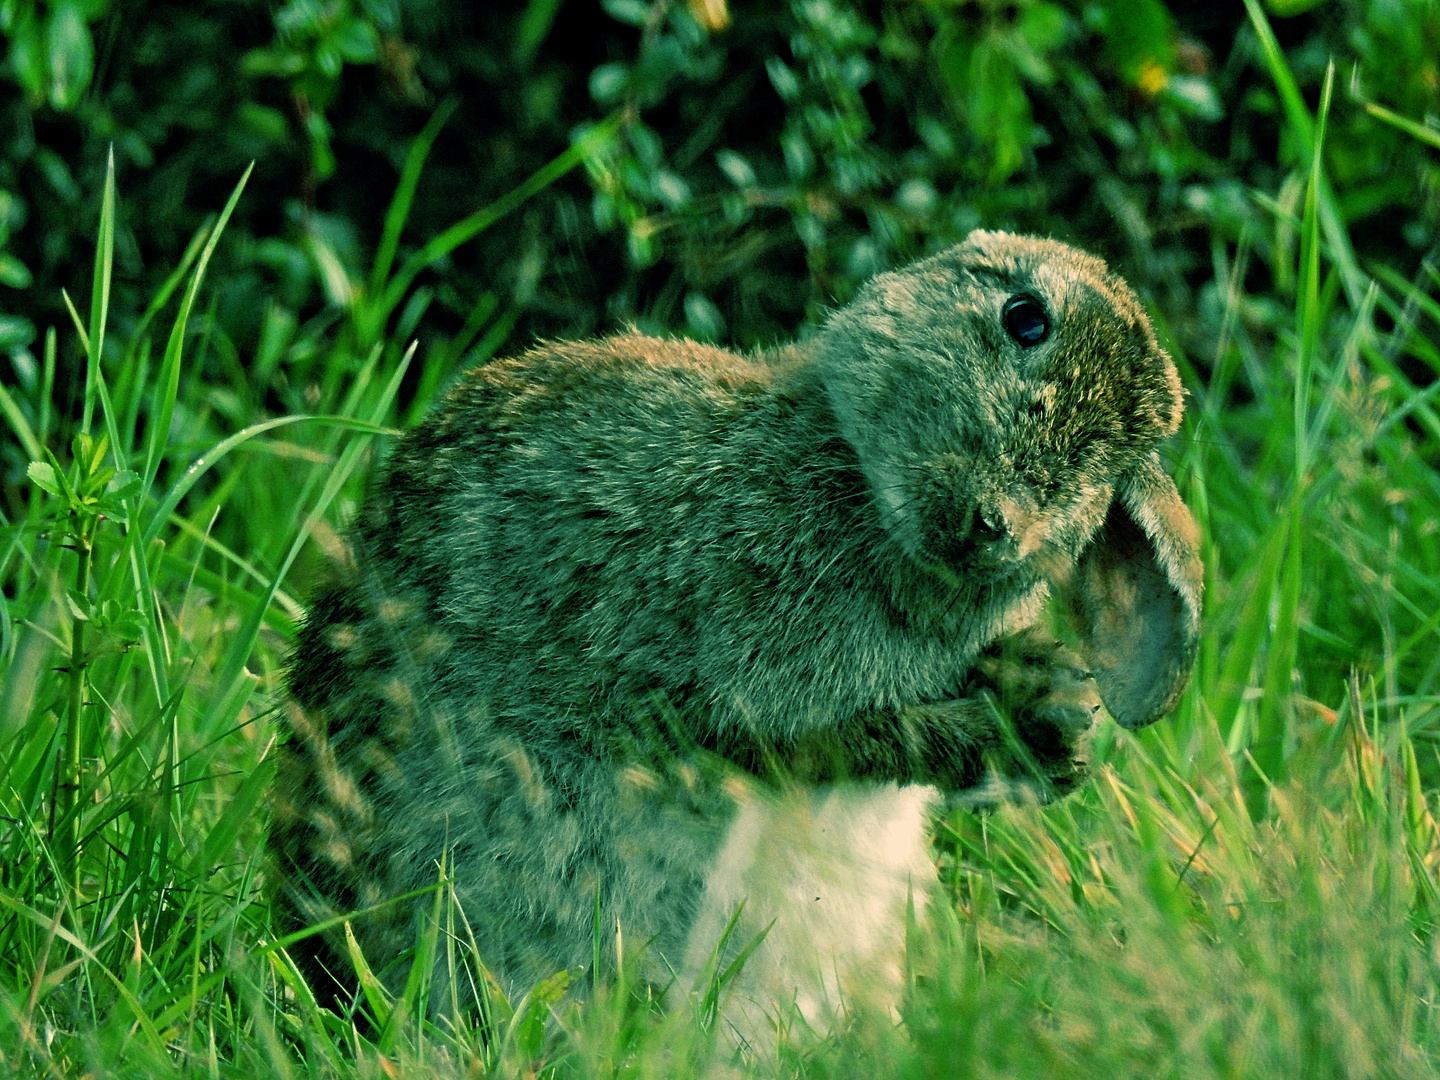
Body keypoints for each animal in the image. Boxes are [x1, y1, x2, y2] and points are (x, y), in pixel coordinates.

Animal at [270, 228, 1203, 1048]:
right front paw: (1030, 723)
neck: (865, 495)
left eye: (1115, 464)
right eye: (1025, 318)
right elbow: (818, 739)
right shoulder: (723, 658)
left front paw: (1053, 708)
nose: (995, 526)